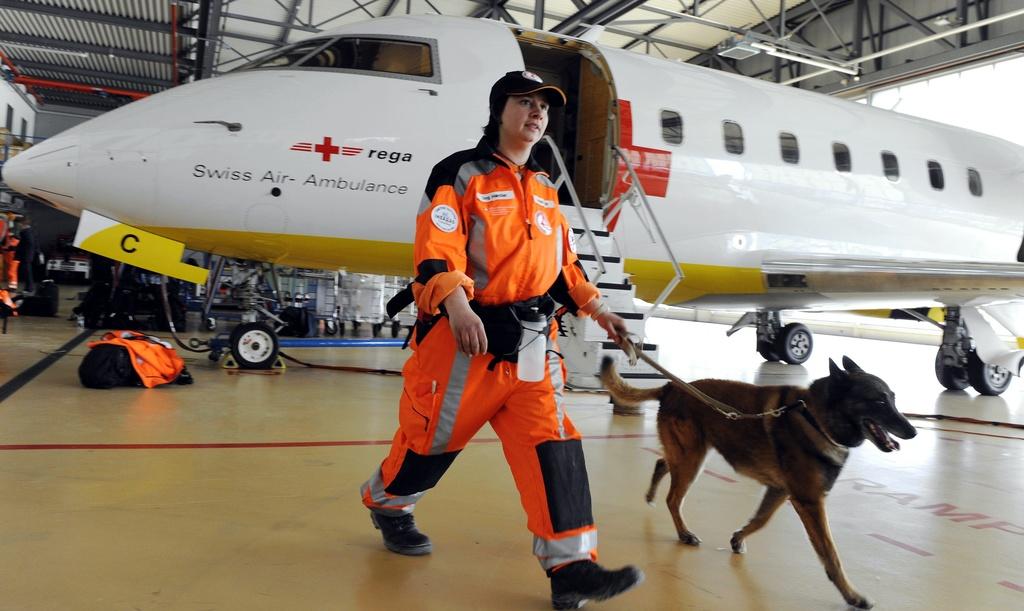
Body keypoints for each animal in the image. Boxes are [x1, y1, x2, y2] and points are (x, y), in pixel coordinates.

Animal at [598, 354, 917, 605]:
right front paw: (852, 596)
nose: (912, 431)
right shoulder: (810, 502)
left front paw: (738, 538)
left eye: (893, 398)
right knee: (673, 497)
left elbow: (761, 520)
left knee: (662, 463)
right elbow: (830, 554)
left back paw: (652, 494)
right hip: (692, 461)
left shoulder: (780, 491)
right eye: (879, 400)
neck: (816, 418)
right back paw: (684, 533)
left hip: (689, 455)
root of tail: (670, 387)